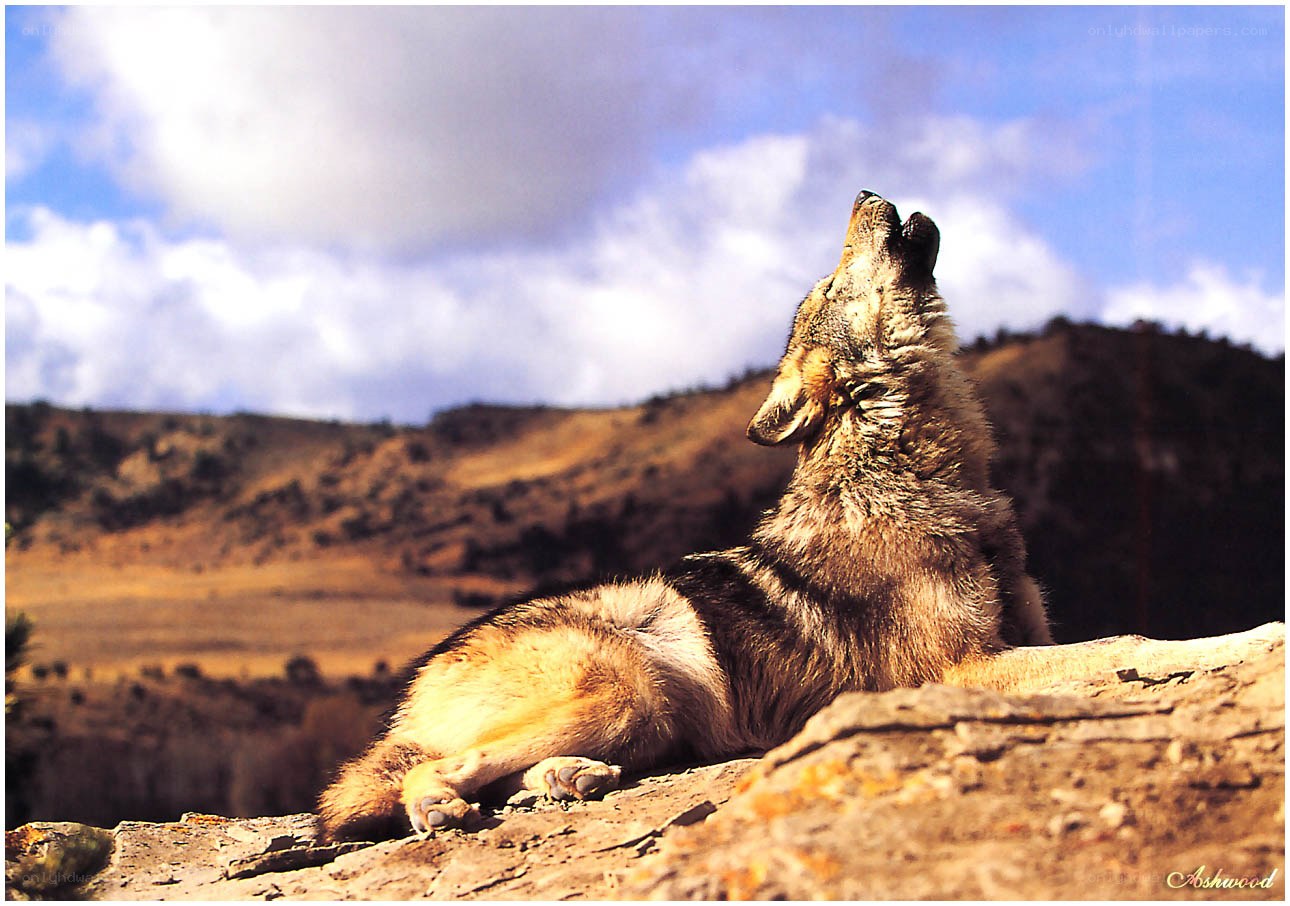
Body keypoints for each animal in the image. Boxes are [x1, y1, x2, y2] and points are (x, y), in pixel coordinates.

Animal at [317, 190, 1053, 843]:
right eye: (832, 281)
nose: (865, 190)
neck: (909, 467)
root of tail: (419, 679)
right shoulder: (960, 669)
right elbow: (1080, 662)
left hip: (649, 717)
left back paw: (569, 776)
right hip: (630, 687)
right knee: (435, 771)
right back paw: (444, 806)